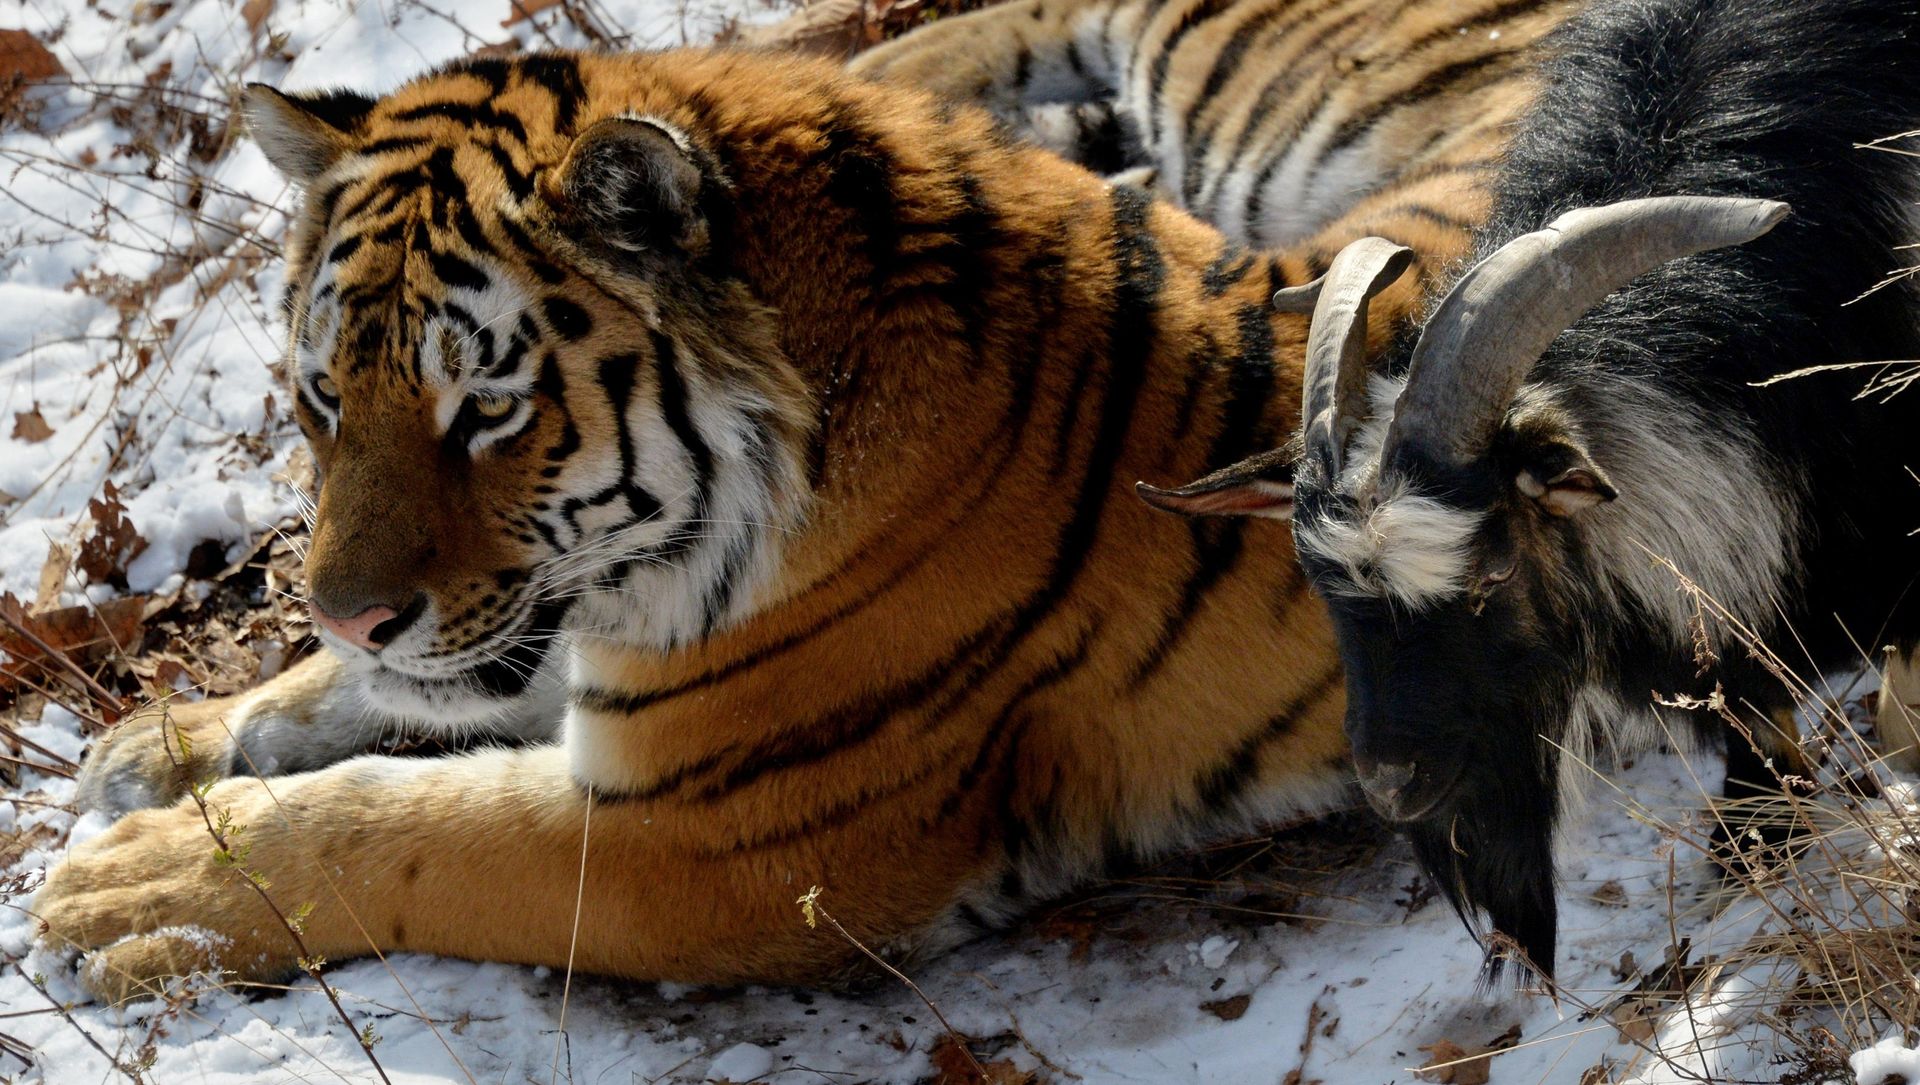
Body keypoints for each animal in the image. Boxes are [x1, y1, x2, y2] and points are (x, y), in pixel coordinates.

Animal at [36, 3, 1565, 1000]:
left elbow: (394, 827)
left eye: (490, 410)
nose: (351, 612)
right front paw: (163, 743)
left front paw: (140, 884)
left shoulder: (710, 840)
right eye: (323, 400)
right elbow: (361, 709)